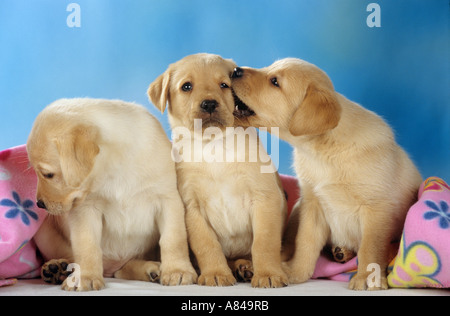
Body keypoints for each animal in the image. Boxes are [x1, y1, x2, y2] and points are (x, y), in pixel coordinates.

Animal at [27, 98, 197, 292]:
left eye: (48, 174)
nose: (39, 204)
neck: (115, 167)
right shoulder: (85, 209)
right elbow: (87, 246)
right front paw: (84, 276)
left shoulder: (168, 200)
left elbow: (173, 239)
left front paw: (178, 270)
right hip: (44, 232)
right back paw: (57, 268)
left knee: (123, 269)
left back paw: (152, 269)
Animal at [148, 53, 288, 288]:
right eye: (187, 86)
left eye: (224, 85)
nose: (209, 104)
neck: (214, 147)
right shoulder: (192, 208)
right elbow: (207, 245)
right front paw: (215, 273)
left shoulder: (264, 198)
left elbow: (264, 243)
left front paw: (268, 273)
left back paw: (246, 267)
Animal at [230, 58, 424, 290]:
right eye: (269, 68)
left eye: (275, 81)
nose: (235, 70)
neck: (323, 150)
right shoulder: (312, 206)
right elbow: (304, 244)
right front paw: (295, 272)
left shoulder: (376, 210)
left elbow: (370, 248)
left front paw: (368, 278)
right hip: (296, 209)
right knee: (283, 247)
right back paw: (249, 266)